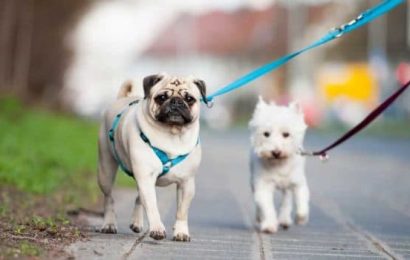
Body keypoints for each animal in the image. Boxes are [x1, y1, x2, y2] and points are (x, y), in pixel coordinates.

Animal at [248, 97, 310, 234]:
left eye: (286, 134)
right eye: (266, 134)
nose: (276, 152)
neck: (279, 164)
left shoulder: (298, 183)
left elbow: (302, 201)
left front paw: (300, 219)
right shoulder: (263, 185)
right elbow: (266, 206)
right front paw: (269, 225)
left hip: (287, 186)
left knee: (287, 199)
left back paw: (285, 219)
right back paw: (260, 217)